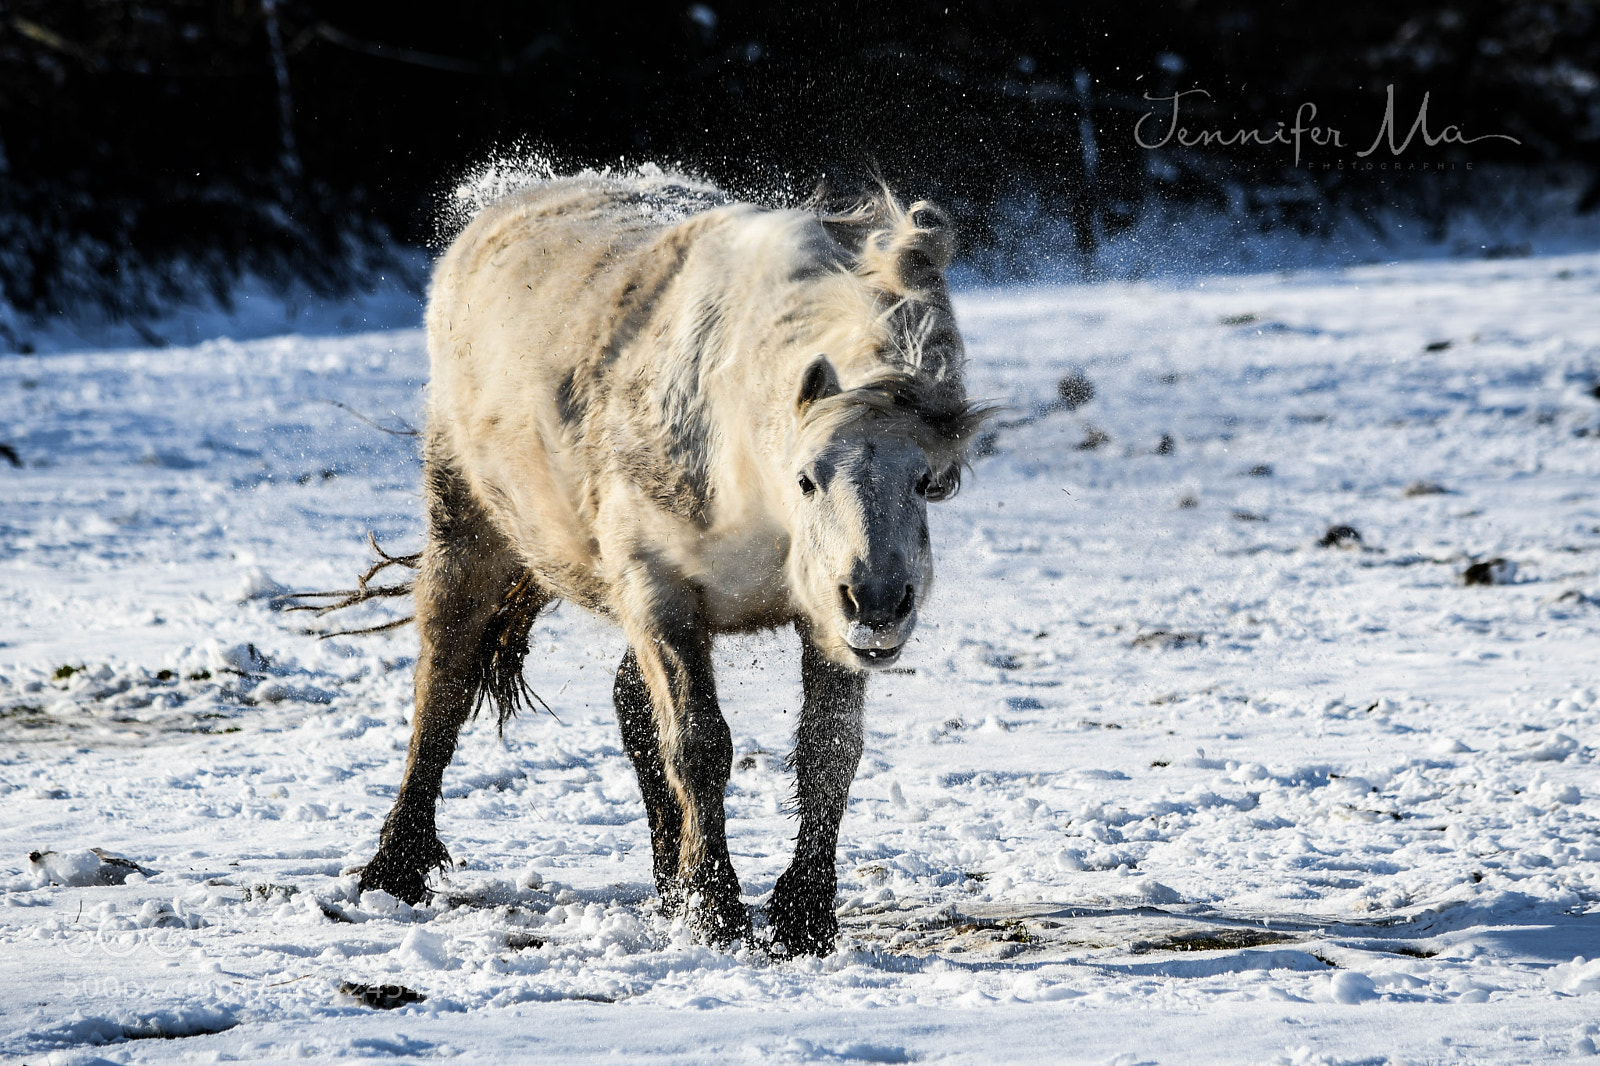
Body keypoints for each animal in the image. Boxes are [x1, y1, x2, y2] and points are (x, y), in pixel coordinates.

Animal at [357, 170, 987, 955]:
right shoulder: (660, 590)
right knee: (441, 683)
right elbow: (698, 745)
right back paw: (394, 869)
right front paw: (716, 909)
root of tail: (497, 213)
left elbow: (828, 750)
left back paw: (666, 885)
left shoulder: (818, 613)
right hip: (468, 532)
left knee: (629, 704)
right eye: (807, 478)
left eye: (925, 480)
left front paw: (802, 916)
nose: (877, 603)